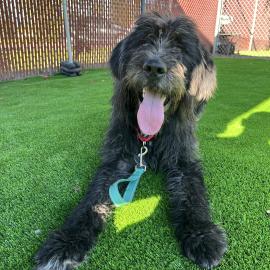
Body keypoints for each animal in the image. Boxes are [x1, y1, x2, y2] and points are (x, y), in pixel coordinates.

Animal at [34, 12, 227, 270]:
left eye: (179, 47)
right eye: (144, 41)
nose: (154, 67)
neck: (150, 137)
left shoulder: (184, 162)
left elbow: (192, 194)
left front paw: (202, 234)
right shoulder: (117, 160)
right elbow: (93, 198)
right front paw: (67, 240)